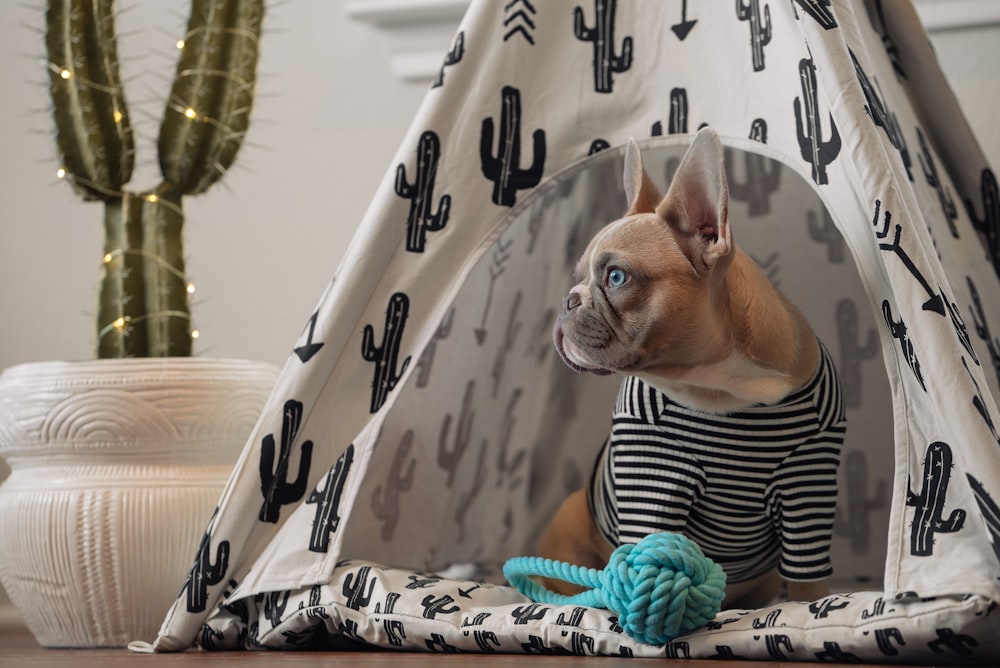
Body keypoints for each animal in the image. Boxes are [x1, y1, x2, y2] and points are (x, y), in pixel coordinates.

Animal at [544, 128, 848, 608]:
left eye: (616, 277)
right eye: (577, 276)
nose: (568, 300)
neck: (720, 386)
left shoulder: (809, 481)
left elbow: (807, 577)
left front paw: (806, 609)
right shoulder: (652, 475)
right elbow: (645, 554)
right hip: (571, 518)